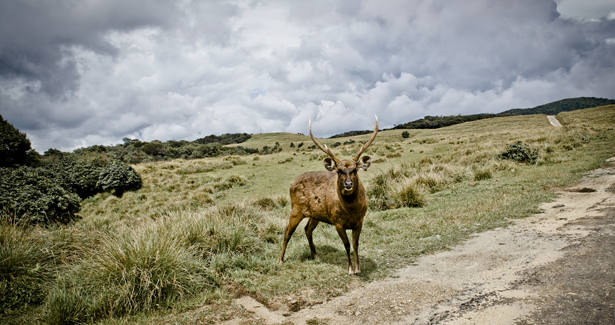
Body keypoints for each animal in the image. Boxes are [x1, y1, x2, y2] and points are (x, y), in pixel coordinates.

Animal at [276, 115, 378, 274]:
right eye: (339, 171)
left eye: (355, 170)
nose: (348, 184)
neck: (351, 210)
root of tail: (291, 183)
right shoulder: (337, 222)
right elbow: (347, 244)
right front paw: (350, 269)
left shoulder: (360, 220)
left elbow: (355, 244)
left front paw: (358, 269)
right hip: (296, 209)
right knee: (287, 232)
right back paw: (280, 259)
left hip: (315, 214)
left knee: (307, 229)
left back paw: (315, 255)